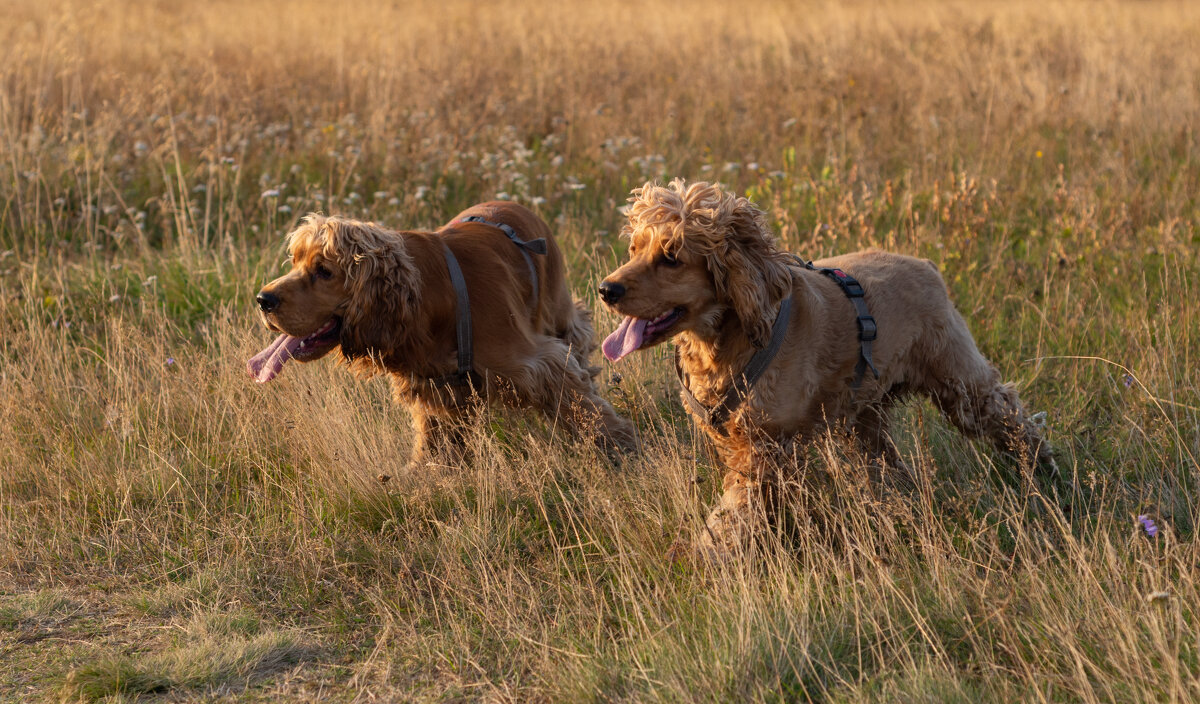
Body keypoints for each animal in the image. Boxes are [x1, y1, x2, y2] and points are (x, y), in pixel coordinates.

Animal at [250, 202, 638, 467]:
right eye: (295, 261)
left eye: (324, 271)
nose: (262, 299)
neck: (426, 298)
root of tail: (518, 205)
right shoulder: (433, 385)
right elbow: (433, 439)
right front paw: (423, 474)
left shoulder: (537, 361)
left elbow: (583, 406)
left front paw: (621, 445)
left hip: (558, 309)